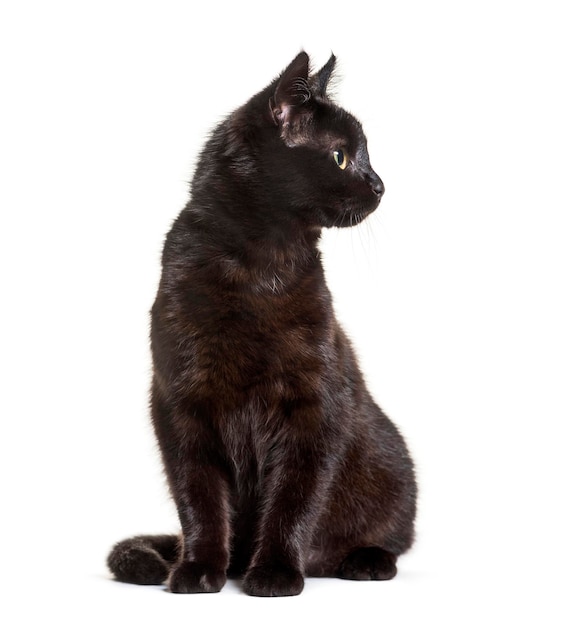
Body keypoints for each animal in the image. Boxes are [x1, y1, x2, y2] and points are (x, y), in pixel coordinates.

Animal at [108, 51, 416, 592]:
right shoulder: (181, 404)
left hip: (394, 470)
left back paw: (364, 561)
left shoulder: (315, 405)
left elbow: (295, 497)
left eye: (366, 156)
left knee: (391, 537)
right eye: (342, 157)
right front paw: (197, 569)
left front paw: (274, 572)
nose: (381, 184)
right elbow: (199, 500)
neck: (262, 266)